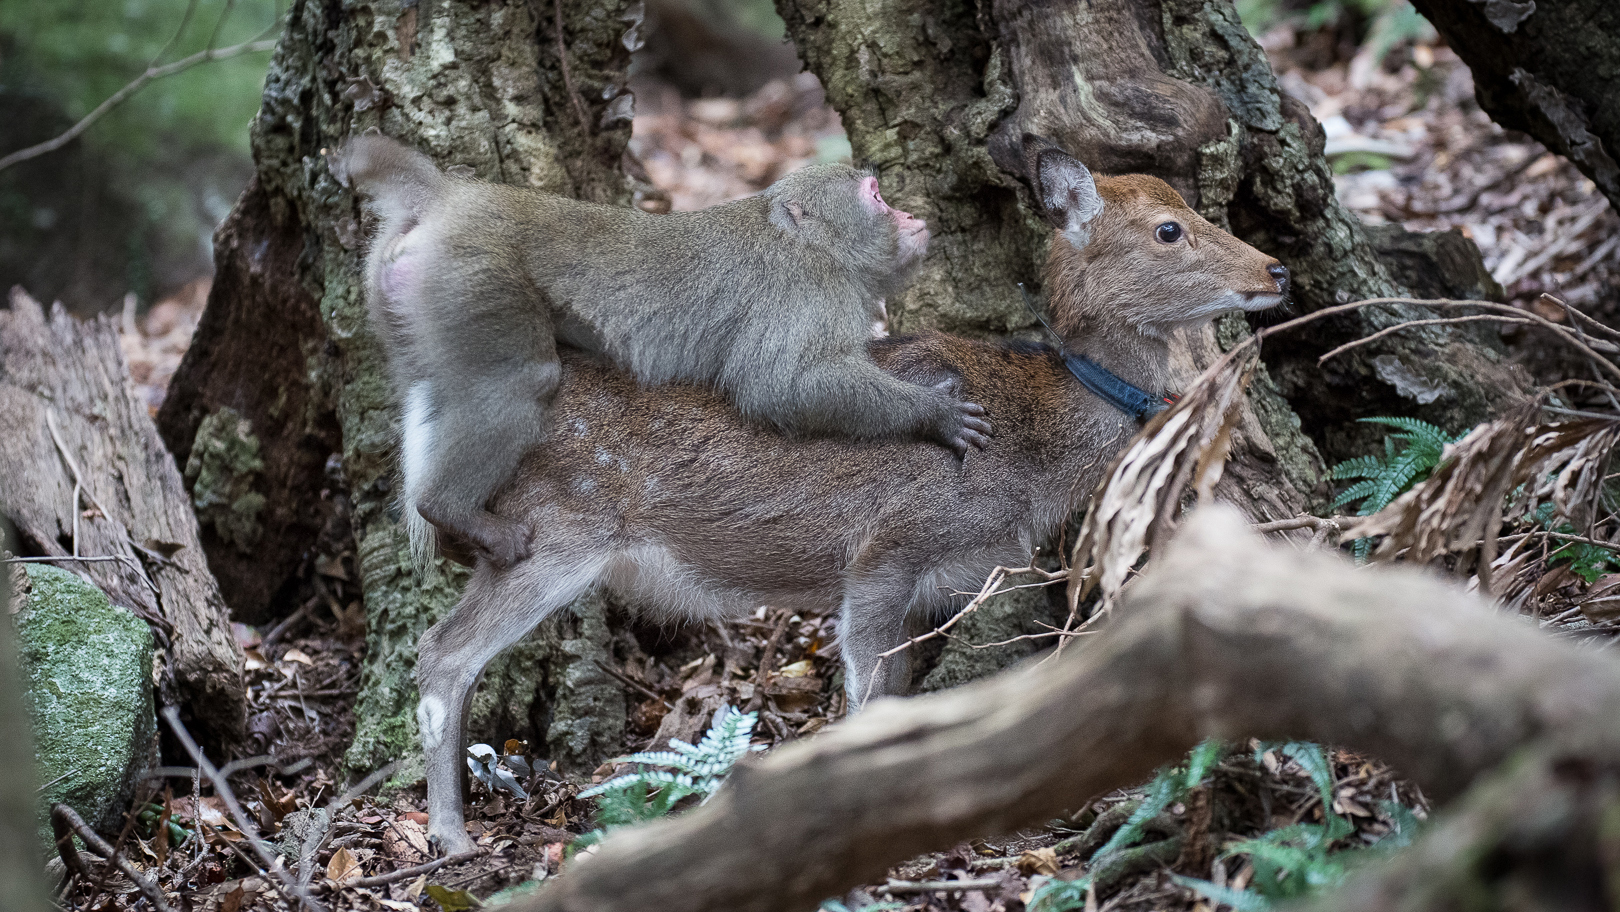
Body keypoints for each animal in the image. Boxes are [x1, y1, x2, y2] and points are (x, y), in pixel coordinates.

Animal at [328, 136, 984, 566]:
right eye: (876, 197)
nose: (910, 213)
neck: (817, 247)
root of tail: (451, 199)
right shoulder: (808, 292)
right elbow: (779, 384)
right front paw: (933, 413)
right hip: (472, 275)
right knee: (522, 379)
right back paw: (450, 509)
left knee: (432, 387)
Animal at [414, 139, 1289, 855]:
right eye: (1169, 231)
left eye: (1192, 208)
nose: (1274, 270)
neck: (1027, 452)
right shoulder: (886, 549)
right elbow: (865, 703)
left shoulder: (929, 582)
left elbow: (897, 704)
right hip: (553, 529)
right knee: (443, 652)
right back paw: (451, 837)